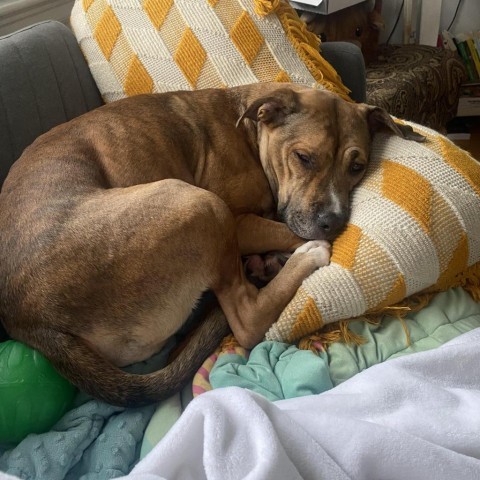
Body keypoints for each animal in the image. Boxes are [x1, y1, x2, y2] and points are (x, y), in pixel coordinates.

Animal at [0, 82, 424, 404]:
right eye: (304, 157)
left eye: (357, 166)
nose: (333, 221)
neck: (252, 135)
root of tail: (31, 321)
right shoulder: (239, 221)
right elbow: (285, 229)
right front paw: (302, 244)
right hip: (201, 205)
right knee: (247, 320)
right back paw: (301, 258)